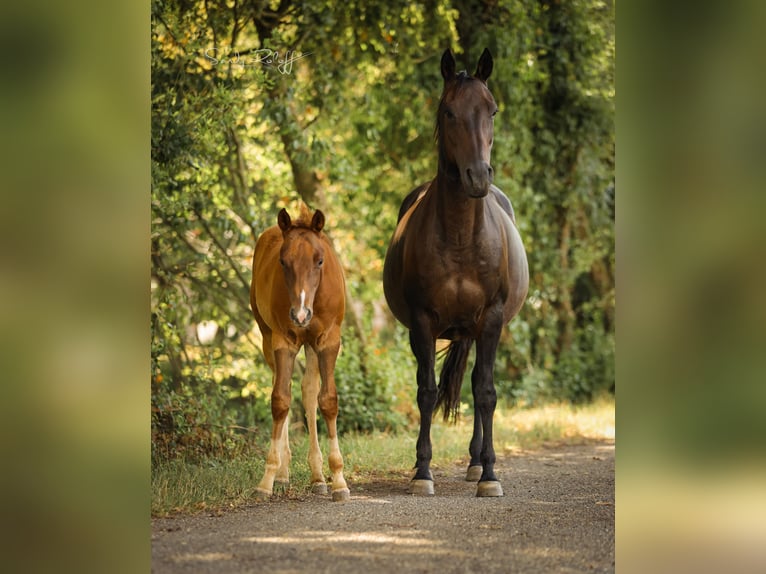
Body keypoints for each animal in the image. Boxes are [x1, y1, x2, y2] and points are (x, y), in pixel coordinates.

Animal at [250, 204, 350, 501]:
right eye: (283, 262)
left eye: (319, 261)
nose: (300, 314)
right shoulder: (283, 341)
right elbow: (280, 400)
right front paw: (268, 478)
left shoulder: (328, 341)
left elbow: (327, 401)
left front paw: (339, 480)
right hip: (268, 336)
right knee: (283, 385)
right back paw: (283, 472)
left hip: (312, 345)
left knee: (309, 391)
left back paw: (318, 476)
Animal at [383, 48, 529, 497]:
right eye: (449, 111)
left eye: (492, 110)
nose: (477, 176)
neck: (463, 235)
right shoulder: (422, 322)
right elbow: (427, 392)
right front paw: (422, 471)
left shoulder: (492, 320)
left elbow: (485, 393)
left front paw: (490, 475)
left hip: (480, 330)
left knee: (479, 386)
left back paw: (477, 462)